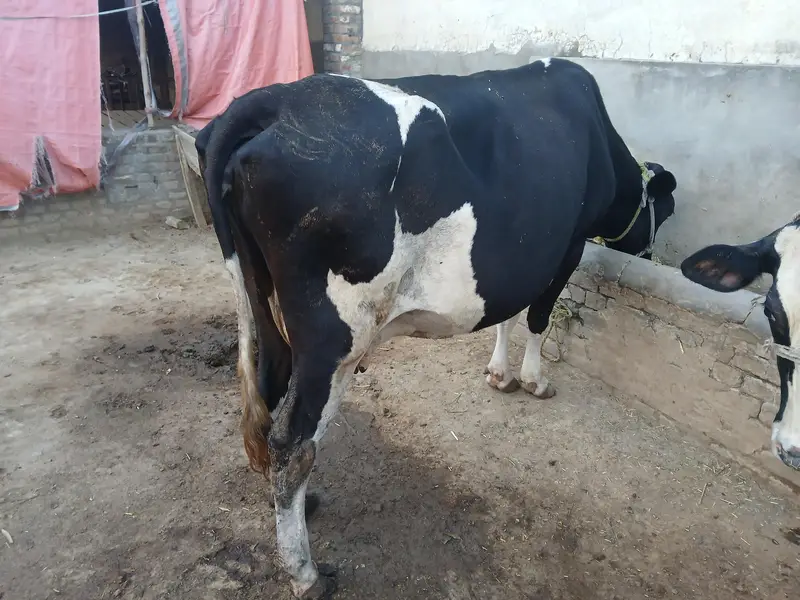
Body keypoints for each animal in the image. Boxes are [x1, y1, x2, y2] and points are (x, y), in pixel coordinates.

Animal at [195, 58, 677, 599]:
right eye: (666, 211)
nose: (651, 252)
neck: (600, 137)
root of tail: (269, 101)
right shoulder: (566, 246)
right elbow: (537, 315)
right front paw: (534, 380)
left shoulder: (516, 261)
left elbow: (508, 313)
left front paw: (499, 374)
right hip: (333, 336)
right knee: (292, 442)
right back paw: (306, 572)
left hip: (262, 301)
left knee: (268, 395)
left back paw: (294, 510)